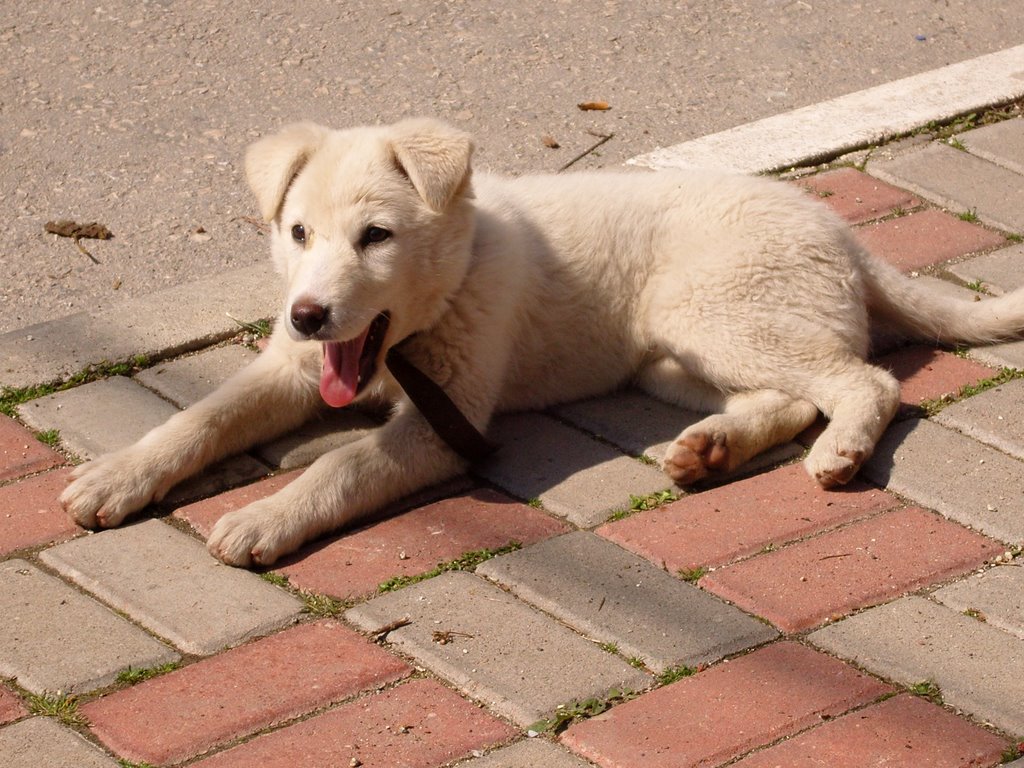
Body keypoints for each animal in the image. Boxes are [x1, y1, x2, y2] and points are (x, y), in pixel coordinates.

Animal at [61, 118, 1024, 565]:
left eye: (376, 237)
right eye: (297, 233)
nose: (306, 314)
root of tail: (847, 236)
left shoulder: (445, 423)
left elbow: (342, 464)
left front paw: (264, 517)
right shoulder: (295, 369)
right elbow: (201, 420)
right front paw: (118, 476)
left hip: (716, 311)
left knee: (867, 383)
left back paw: (840, 454)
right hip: (677, 360)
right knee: (790, 396)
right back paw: (711, 449)